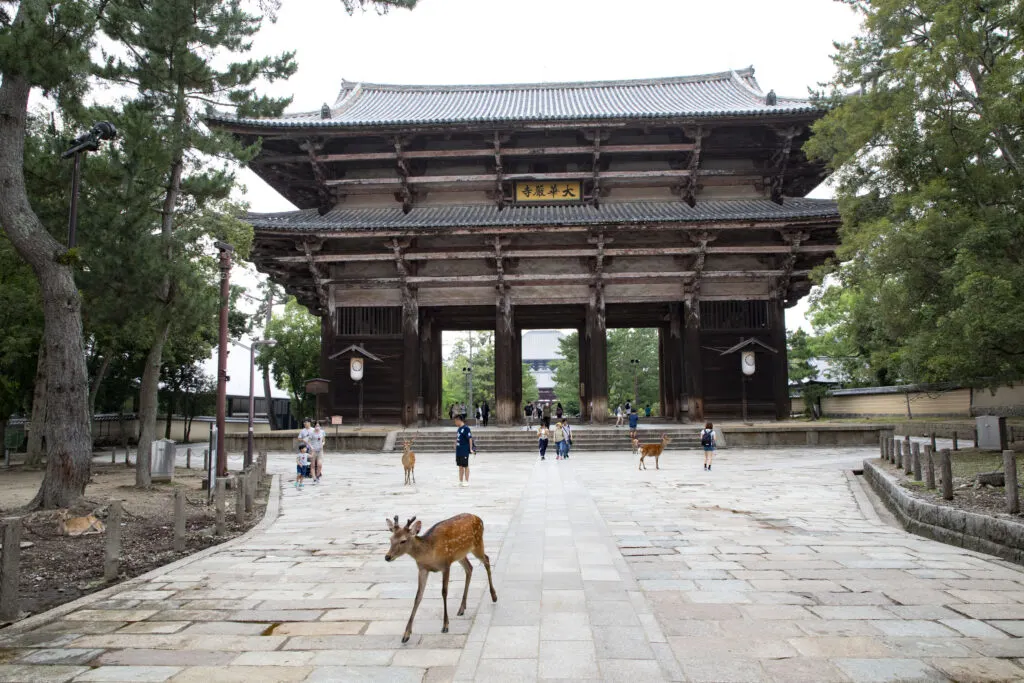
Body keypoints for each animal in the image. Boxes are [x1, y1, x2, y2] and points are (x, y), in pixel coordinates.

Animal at [385, 513, 497, 643]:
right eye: (390, 539)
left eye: (403, 540)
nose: (387, 557)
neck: (428, 553)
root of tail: (479, 518)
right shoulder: (422, 569)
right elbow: (418, 597)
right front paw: (406, 634)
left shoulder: (446, 564)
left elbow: (444, 592)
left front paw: (445, 625)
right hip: (460, 554)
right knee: (469, 568)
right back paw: (462, 608)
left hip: (477, 544)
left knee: (487, 560)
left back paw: (494, 596)